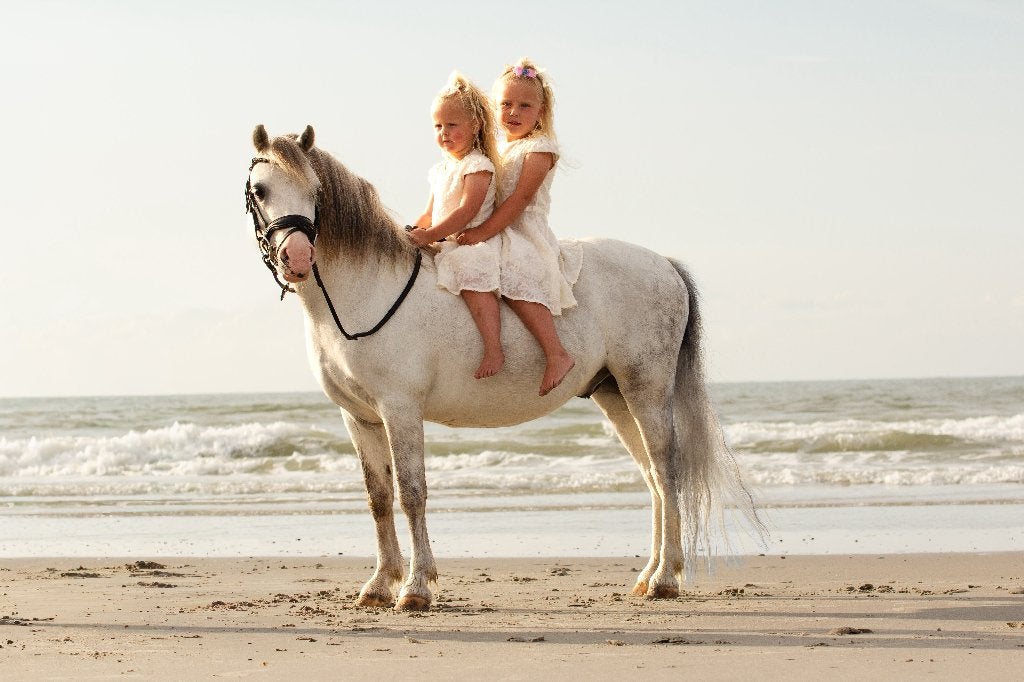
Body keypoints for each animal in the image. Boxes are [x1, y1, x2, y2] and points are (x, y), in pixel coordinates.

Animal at [243, 124, 762, 611]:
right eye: (260, 190)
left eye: (316, 191)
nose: (297, 258)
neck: (366, 291)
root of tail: (665, 264)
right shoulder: (359, 417)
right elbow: (379, 497)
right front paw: (378, 585)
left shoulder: (400, 411)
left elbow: (412, 492)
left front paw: (415, 588)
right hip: (615, 396)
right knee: (652, 477)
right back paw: (648, 575)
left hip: (645, 389)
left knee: (666, 470)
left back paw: (665, 578)